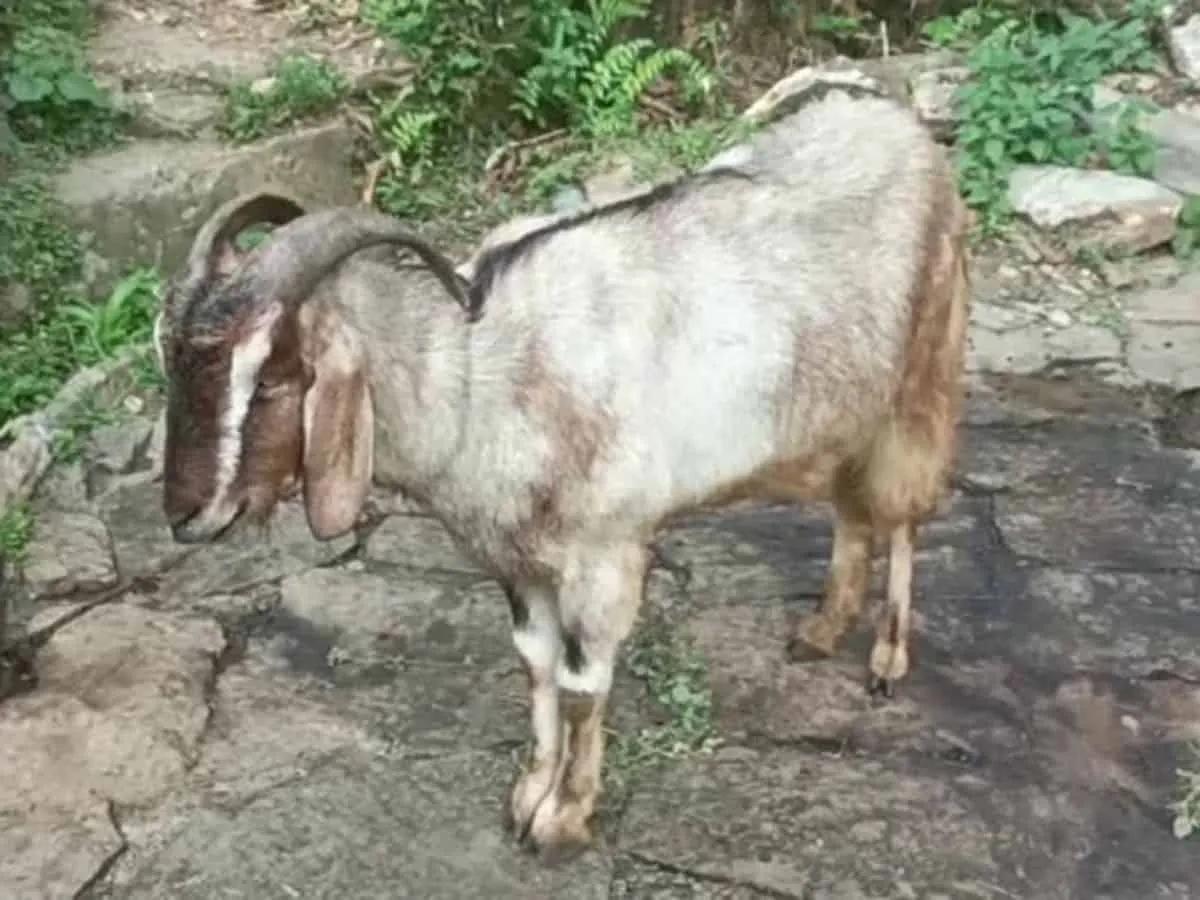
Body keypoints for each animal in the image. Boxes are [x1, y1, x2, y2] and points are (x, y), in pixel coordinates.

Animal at [155, 92, 970, 858]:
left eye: (269, 380)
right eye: (172, 362)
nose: (185, 515)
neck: (480, 380)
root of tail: (899, 125)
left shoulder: (603, 556)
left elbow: (582, 686)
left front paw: (563, 820)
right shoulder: (517, 564)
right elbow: (536, 668)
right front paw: (526, 796)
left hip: (921, 377)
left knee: (901, 514)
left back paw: (886, 658)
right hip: (841, 410)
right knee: (851, 510)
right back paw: (821, 629)